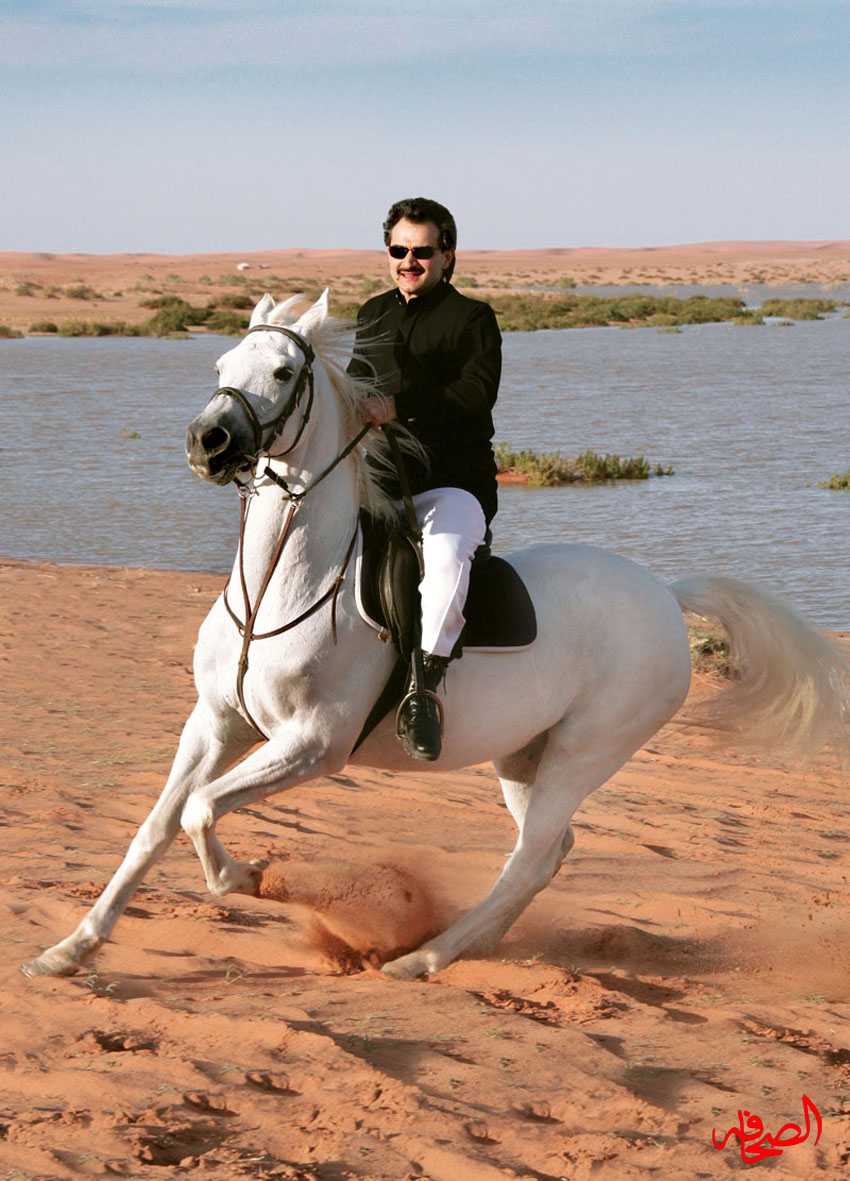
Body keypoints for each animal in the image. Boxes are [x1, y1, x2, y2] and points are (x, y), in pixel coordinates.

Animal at [23, 290, 850, 982]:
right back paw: (463, 945)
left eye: (284, 370)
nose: (209, 440)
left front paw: (251, 876)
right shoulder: (216, 723)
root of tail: (666, 596)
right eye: (222, 366)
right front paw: (71, 948)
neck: (278, 587)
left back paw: (422, 957)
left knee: (530, 856)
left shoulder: (311, 746)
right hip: (524, 755)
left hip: (587, 749)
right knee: (548, 851)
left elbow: (199, 811)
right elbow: (156, 825)